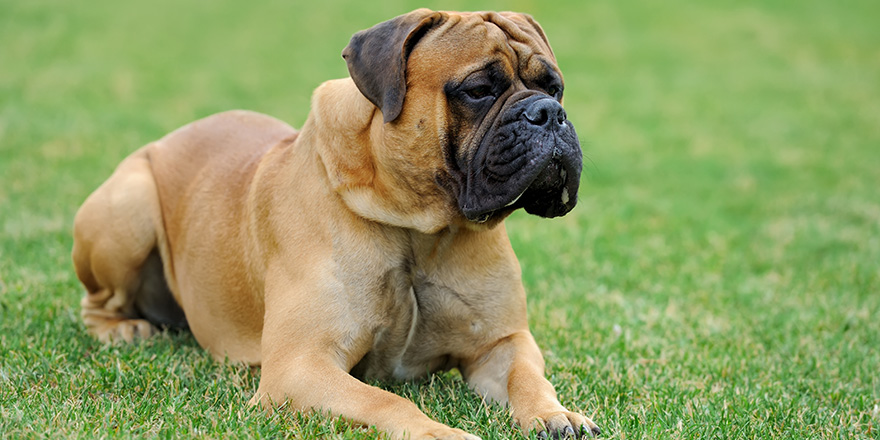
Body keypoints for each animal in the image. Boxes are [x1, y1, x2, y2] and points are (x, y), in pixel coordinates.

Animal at [72, 8, 600, 438]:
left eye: (554, 86)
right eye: (477, 91)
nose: (549, 113)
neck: (418, 229)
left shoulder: (502, 342)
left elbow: (528, 377)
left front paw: (556, 414)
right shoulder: (301, 366)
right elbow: (386, 402)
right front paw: (441, 433)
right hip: (128, 206)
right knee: (96, 304)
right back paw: (124, 330)